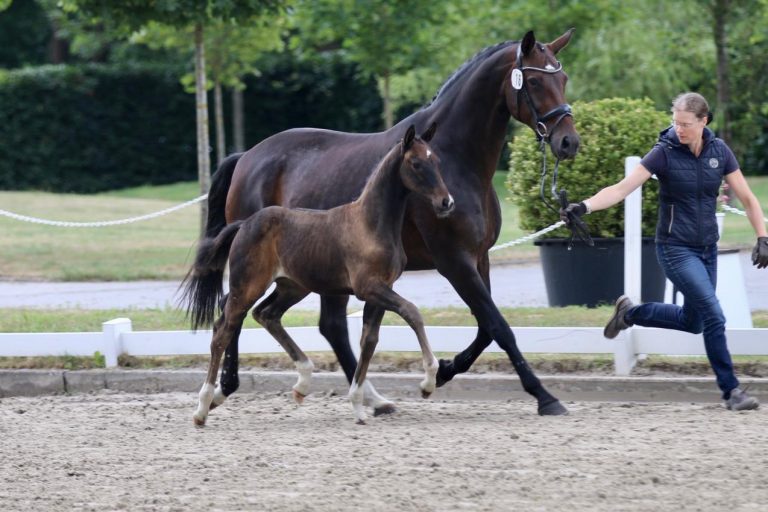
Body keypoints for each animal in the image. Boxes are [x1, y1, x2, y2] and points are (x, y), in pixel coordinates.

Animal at [190, 124, 454, 426]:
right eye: (416, 163)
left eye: (437, 161)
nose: (446, 202)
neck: (370, 223)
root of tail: (244, 224)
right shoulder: (369, 287)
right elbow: (412, 313)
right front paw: (428, 382)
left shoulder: (380, 290)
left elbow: (369, 340)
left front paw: (359, 406)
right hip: (248, 286)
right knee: (224, 329)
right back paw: (203, 407)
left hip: (292, 287)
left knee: (265, 315)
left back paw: (302, 382)